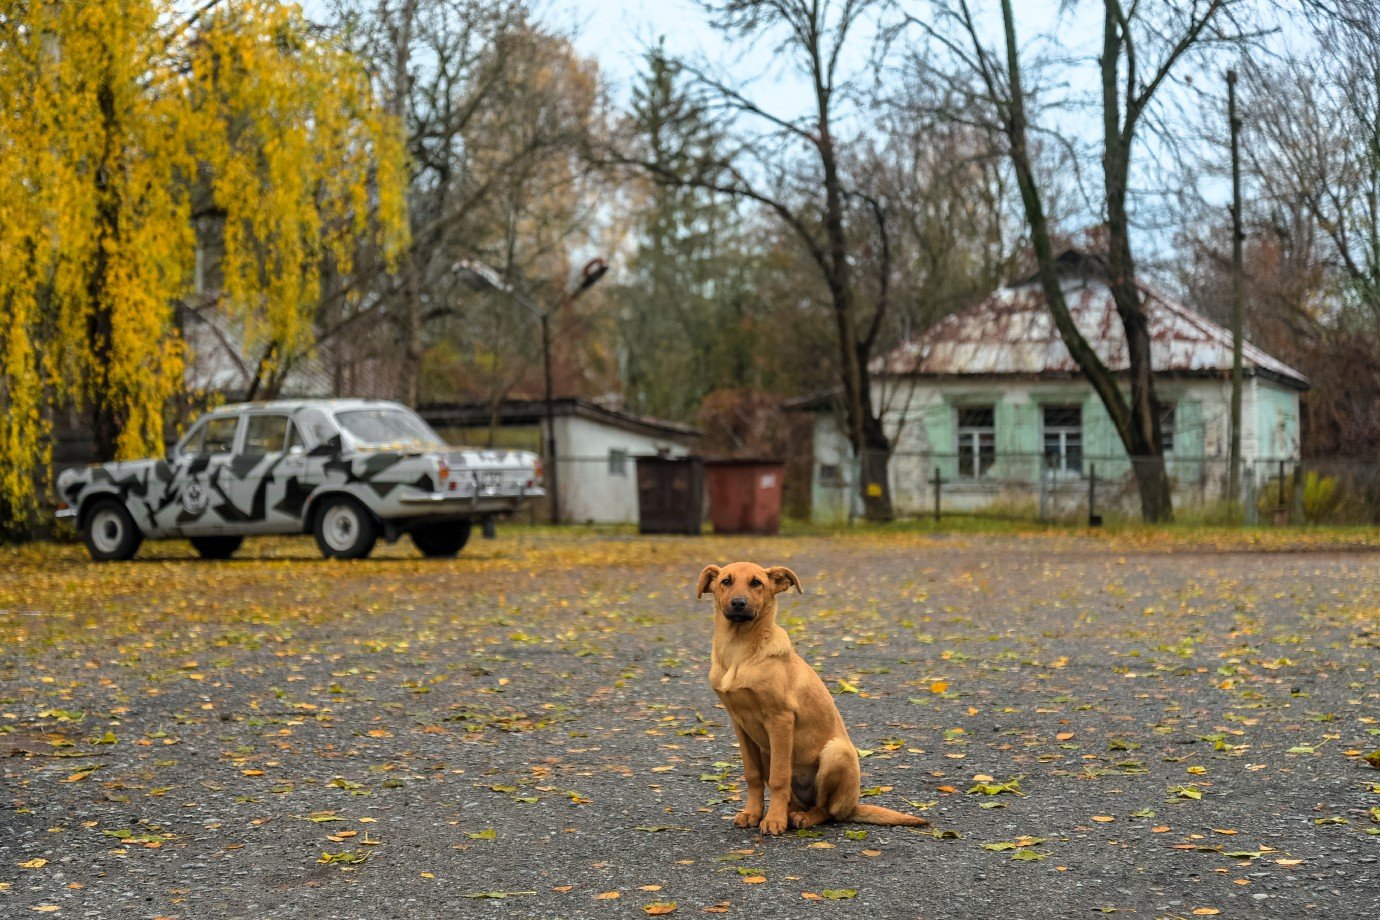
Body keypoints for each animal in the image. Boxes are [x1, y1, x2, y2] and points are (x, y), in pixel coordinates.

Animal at [701, 562, 927, 833]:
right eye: (726, 581)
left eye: (757, 583)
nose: (738, 603)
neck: (739, 650)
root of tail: (853, 805)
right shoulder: (740, 723)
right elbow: (752, 775)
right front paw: (752, 813)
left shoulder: (780, 719)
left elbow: (778, 778)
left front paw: (774, 820)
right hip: (768, 750)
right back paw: (790, 812)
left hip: (836, 752)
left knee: (827, 810)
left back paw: (802, 818)